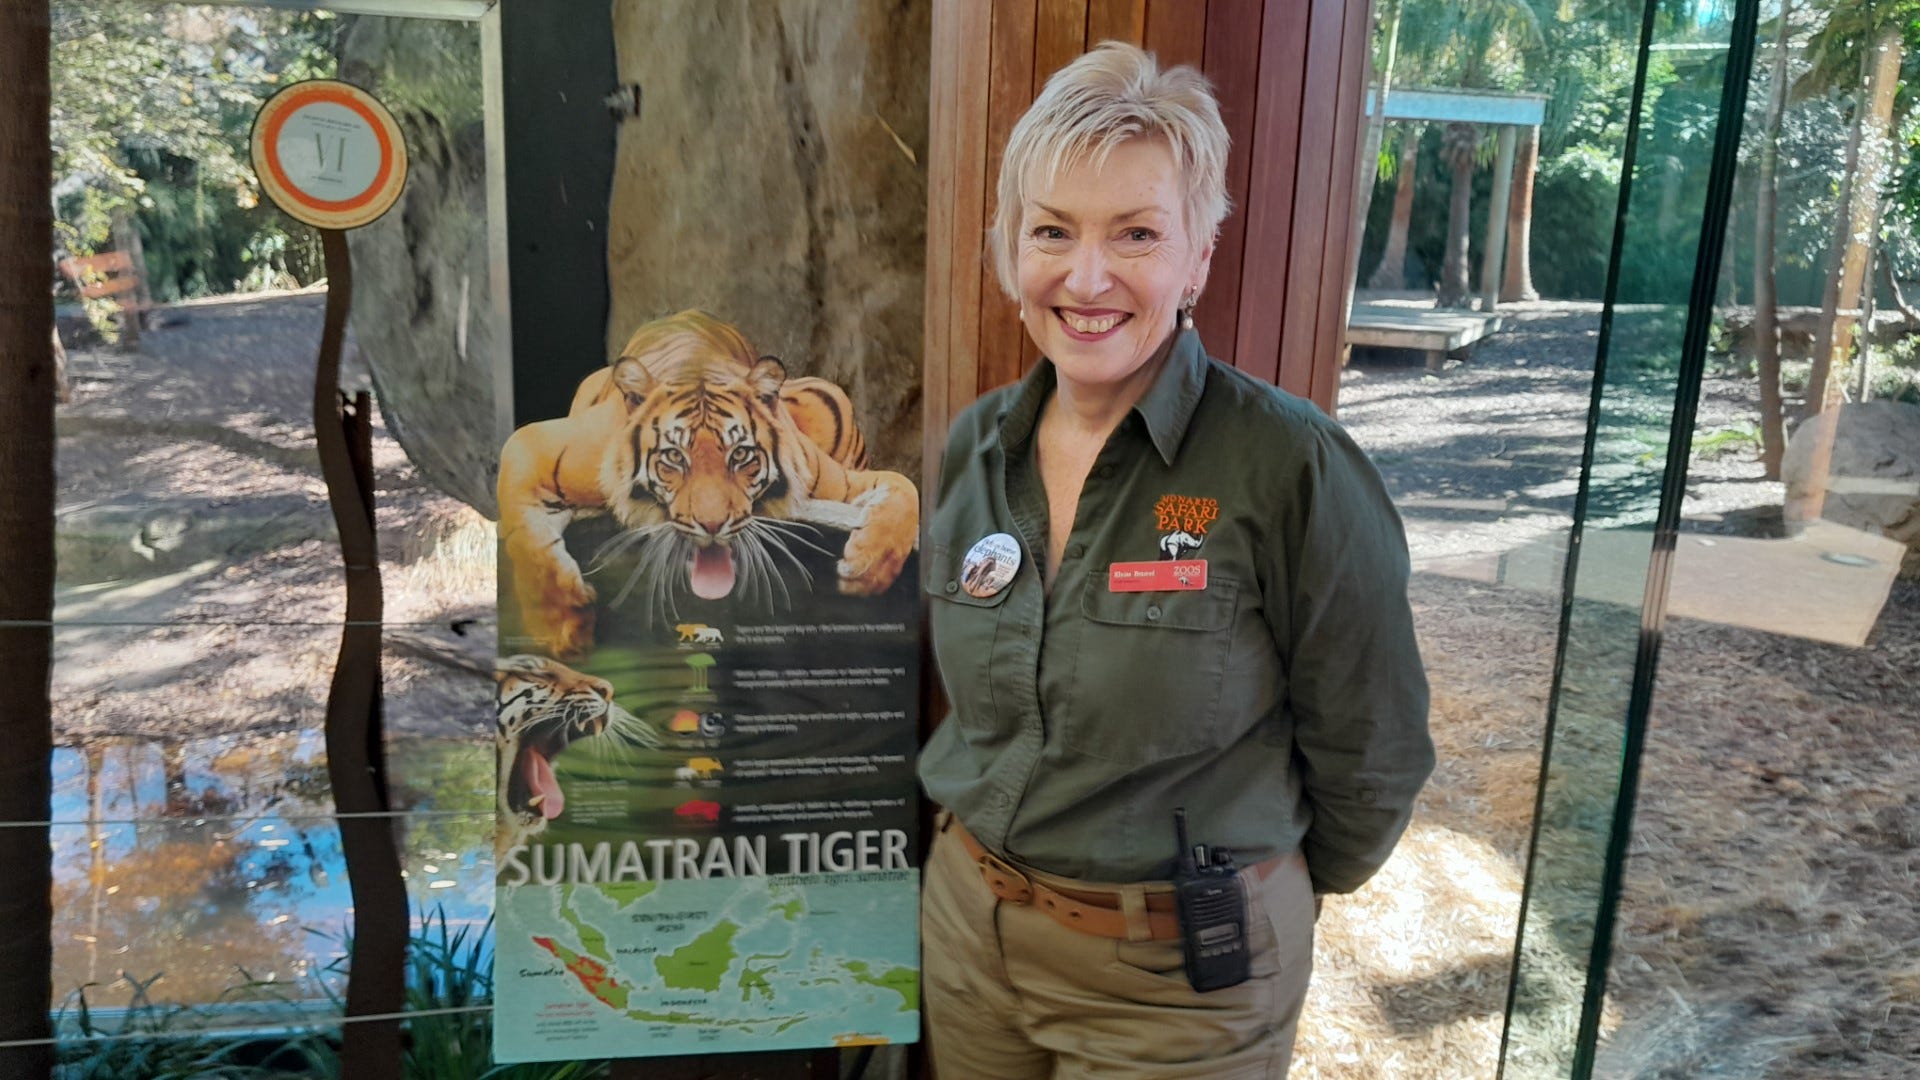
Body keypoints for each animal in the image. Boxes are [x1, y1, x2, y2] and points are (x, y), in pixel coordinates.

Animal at [497, 310, 918, 659]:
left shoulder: (842, 481)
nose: (712, 525)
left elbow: (905, 488)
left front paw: (869, 567)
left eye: (741, 455)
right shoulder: (530, 442)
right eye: (673, 457)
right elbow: (525, 537)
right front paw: (561, 622)